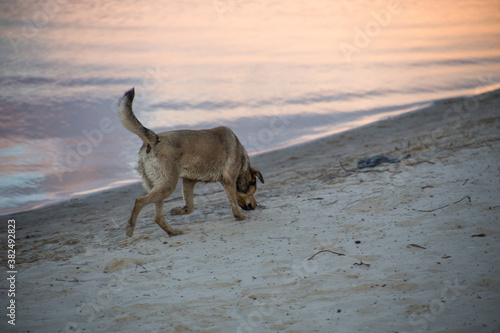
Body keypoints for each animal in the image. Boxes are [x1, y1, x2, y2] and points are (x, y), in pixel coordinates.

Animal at [117, 87, 266, 236]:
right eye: (253, 188)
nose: (255, 206)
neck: (242, 162)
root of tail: (154, 140)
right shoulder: (228, 181)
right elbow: (233, 203)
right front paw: (240, 216)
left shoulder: (189, 181)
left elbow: (190, 207)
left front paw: (179, 210)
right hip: (167, 185)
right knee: (140, 201)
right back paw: (130, 227)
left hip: (160, 186)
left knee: (158, 217)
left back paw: (173, 232)